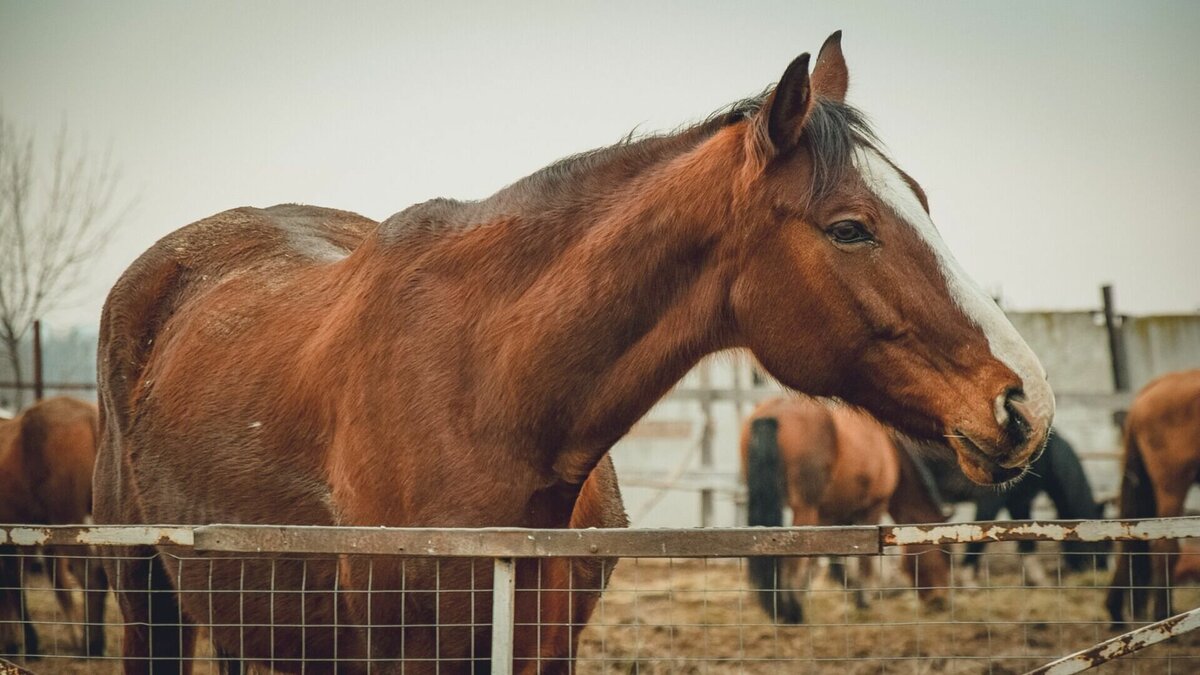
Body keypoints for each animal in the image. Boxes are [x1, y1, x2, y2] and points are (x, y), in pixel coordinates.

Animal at [734, 393, 950, 619]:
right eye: (944, 552)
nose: (940, 600)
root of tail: (772, 413)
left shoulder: (830, 518)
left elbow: (828, 559)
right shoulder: (873, 508)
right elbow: (862, 564)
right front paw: (863, 599)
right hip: (805, 509)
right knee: (792, 562)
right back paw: (794, 612)